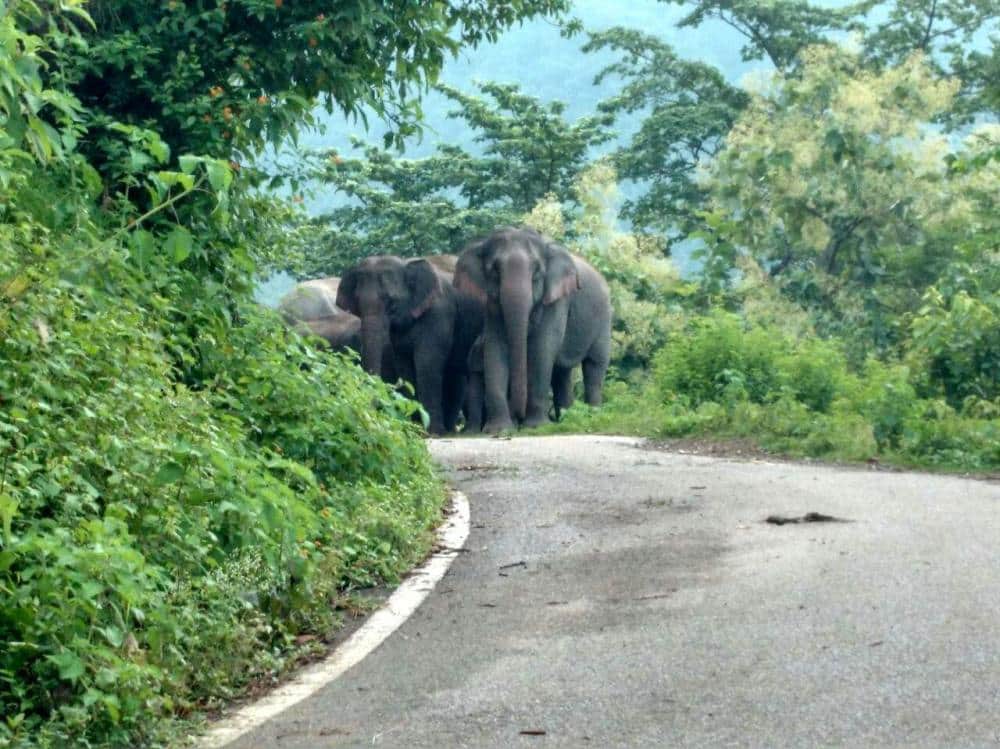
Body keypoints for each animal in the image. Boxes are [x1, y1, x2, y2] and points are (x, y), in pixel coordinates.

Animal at [336, 254, 484, 434]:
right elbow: (404, 366)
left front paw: (432, 432)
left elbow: (426, 362)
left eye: (391, 302)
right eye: (357, 302)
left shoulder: (438, 314)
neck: (406, 263)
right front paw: (415, 429)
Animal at [454, 226, 611, 433]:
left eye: (537, 272)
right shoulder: (491, 305)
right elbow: (495, 348)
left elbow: (542, 348)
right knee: (562, 373)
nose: (518, 419)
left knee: (594, 366)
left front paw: (536, 427)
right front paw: (500, 430)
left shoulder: (556, 300)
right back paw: (565, 420)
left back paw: (592, 417)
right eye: (495, 270)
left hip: (604, 319)